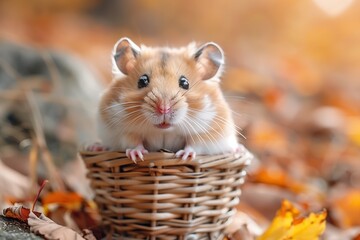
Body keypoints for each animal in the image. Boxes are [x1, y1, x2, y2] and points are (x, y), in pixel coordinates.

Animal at [95, 37, 240, 161]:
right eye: (142, 81)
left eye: (185, 83)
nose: (164, 109)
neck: (164, 131)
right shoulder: (122, 130)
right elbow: (133, 141)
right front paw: (137, 155)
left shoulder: (208, 132)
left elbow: (194, 145)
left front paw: (184, 156)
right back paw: (96, 147)